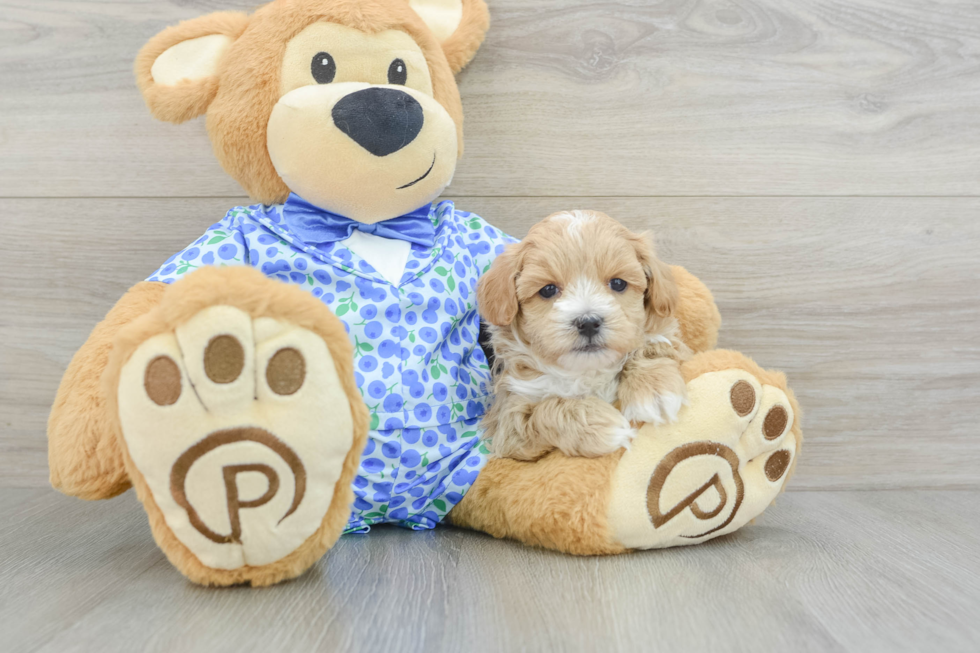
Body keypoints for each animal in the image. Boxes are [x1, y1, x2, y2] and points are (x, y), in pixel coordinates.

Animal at [474, 209, 688, 458]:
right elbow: (545, 410)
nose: (588, 323)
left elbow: (650, 346)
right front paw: (600, 425)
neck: (587, 371)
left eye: (618, 283)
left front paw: (654, 390)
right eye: (548, 289)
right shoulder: (507, 420)